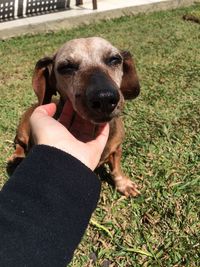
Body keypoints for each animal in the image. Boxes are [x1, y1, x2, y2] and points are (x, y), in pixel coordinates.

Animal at [8, 36, 141, 198]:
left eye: (115, 59)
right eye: (66, 67)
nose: (104, 98)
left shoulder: (116, 149)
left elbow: (116, 169)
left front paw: (123, 184)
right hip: (22, 133)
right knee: (19, 144)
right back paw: (17, 157)